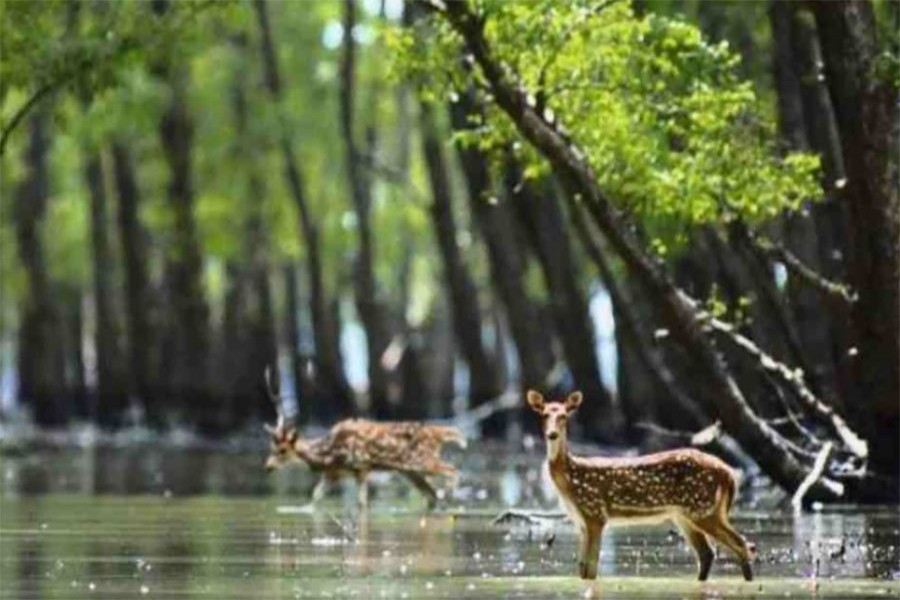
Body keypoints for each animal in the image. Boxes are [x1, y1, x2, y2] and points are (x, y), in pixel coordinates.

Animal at [262, 370, 464, 506]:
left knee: (452, 470)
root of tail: (438, 433)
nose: (268, 467)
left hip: (422, 461)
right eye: (271, 448)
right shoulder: (334, 473)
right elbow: (315, 497)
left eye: (282, 450)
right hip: (410, 471)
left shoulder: (361, 467)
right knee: (431, 495)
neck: (328, 453)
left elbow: (362, 504)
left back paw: (449, 494)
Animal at [524, 390, 756, 580]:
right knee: (708, 553)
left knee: (742, 544)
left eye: (564, 416)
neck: (570, 479)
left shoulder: (595, 513)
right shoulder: (580, 521)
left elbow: (591, 568)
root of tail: (728, 473)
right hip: (685, 514)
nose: (552, 434)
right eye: (544, 414)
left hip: (703, 508)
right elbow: (582, 569)